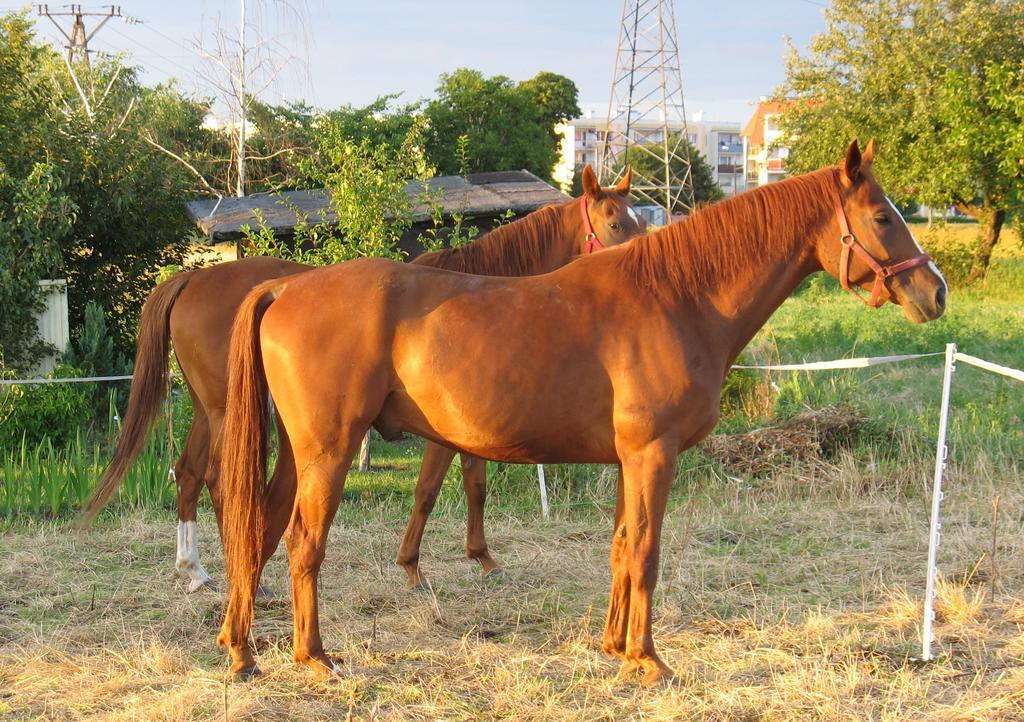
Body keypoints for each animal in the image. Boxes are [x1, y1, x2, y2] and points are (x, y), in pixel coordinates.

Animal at [79, 167, 643, 589]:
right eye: (615, 223)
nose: (640, 261)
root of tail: (194, 276)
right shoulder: (446, 432)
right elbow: (430, 489)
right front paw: (414, 567)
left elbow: (475, 485)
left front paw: (481, 557)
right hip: (228, 413)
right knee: (221, 480)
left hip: (207, 409)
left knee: (190, 473)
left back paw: (196, 570)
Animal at [216, 139, 950, 680]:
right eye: (883, 216)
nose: (935, 292)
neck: (679, 297)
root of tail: (286, 288)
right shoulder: (653, 456)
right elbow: (647, 550)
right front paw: (648, 661)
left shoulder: (629, 461)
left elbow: (622, 545)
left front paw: (614, 646)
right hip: (329, 452)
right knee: (303, 542)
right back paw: (313, 657)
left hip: (300, 454)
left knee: (260, 530)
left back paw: (243, 651)